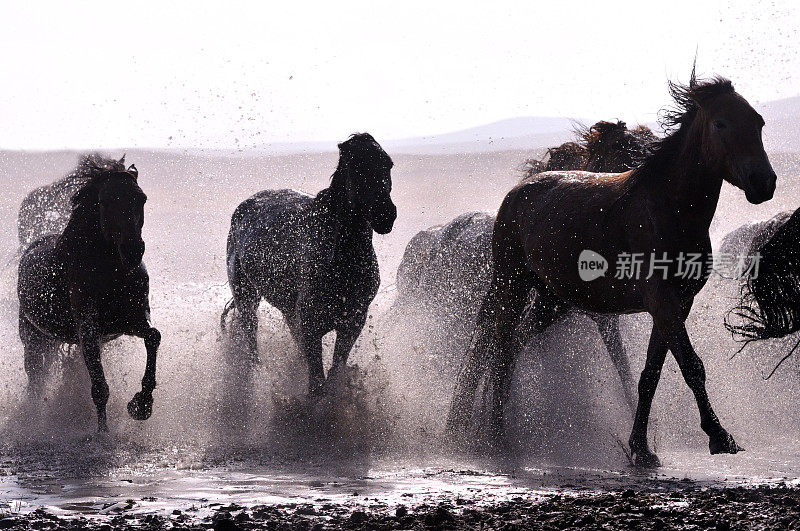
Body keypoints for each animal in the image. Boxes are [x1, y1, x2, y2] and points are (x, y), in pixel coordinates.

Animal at [16, 156, 159, 434]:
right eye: (105, 201)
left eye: (142, 198)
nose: (133, 251)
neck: (110, 272)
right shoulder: (88, 327)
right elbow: (99, 387)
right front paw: (102, 434)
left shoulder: (130, 320)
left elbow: (153, 337)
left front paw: (141, 405)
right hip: (34, 337)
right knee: (36, 379)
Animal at [222, 133, 396, 394]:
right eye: (355, 166)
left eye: (388, 163)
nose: (385, 214)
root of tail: (244, 206)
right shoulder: (310, 328)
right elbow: (317, 383)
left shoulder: (352, 322)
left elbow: (334, 371)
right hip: (246, 298)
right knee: (251, 341)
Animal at [446, 72, 780, 468]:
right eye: (720, 123)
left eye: (759, 123)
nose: (764, 183)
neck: (668, 209)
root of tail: (518, 190)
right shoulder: (663, 303)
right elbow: (691, 366)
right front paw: (720, 436)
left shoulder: (676, 306)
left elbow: (650, 375)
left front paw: (641, 449)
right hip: (510, 285)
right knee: (498, 346)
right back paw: (495, 436)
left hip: (553, 301)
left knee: (514, 343)